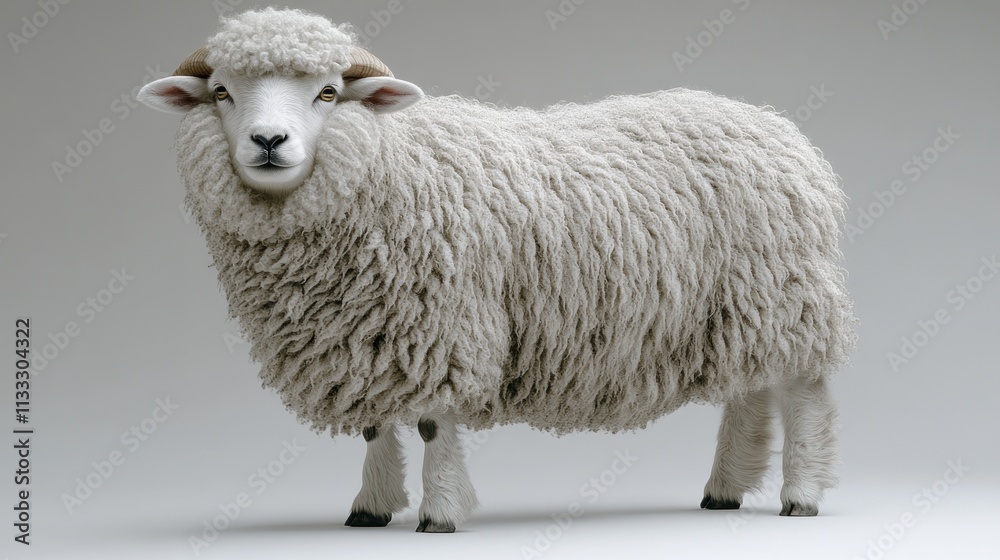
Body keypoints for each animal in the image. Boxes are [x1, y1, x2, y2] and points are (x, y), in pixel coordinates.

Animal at [138, 7, 856, 532]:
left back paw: (800, 495)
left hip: (787, 294)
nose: (268, 142)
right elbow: (376, 422)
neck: (386, 164)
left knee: (801, 395)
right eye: (222, 91)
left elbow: (432, 423)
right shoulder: (367, 336)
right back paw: (724, 490)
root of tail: (778, 129)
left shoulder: (440, 324)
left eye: (328, 92)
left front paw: (437, 513)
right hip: (740, 306)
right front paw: (370, 507)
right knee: (750, 392)